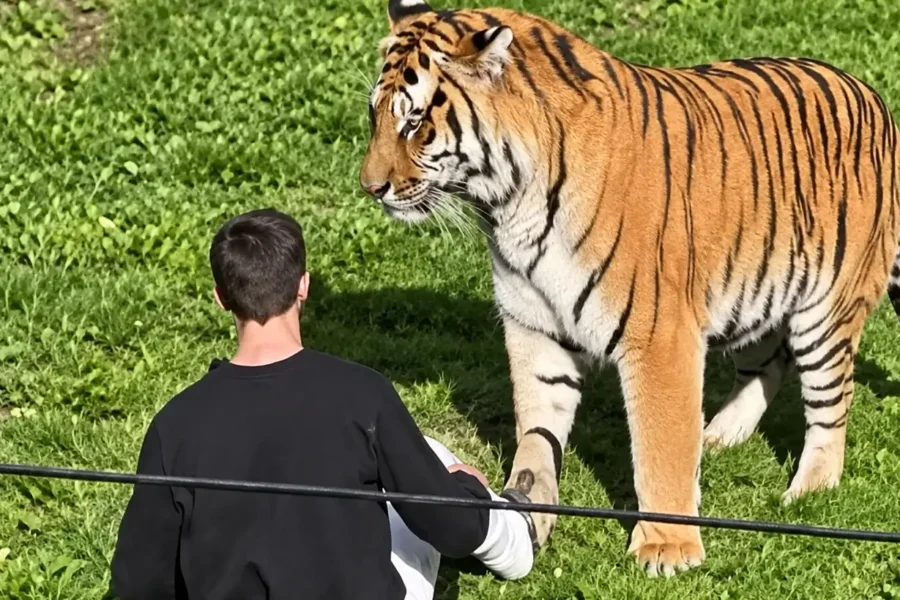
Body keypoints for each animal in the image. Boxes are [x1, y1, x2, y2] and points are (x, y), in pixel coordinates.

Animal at [358, 0, 900, 577]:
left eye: (415, 121)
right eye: (376, 116)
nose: (371, 188)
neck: (508, 205)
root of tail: (872, 96)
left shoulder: (661, 335)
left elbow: (661, 447)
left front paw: (668, 548)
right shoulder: (533, 326)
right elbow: (536, 430)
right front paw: (530, 509)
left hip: (827, 311)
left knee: (831, 403)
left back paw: (809, 490)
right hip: (754, 286)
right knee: (769, 362)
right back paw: (720, 434)